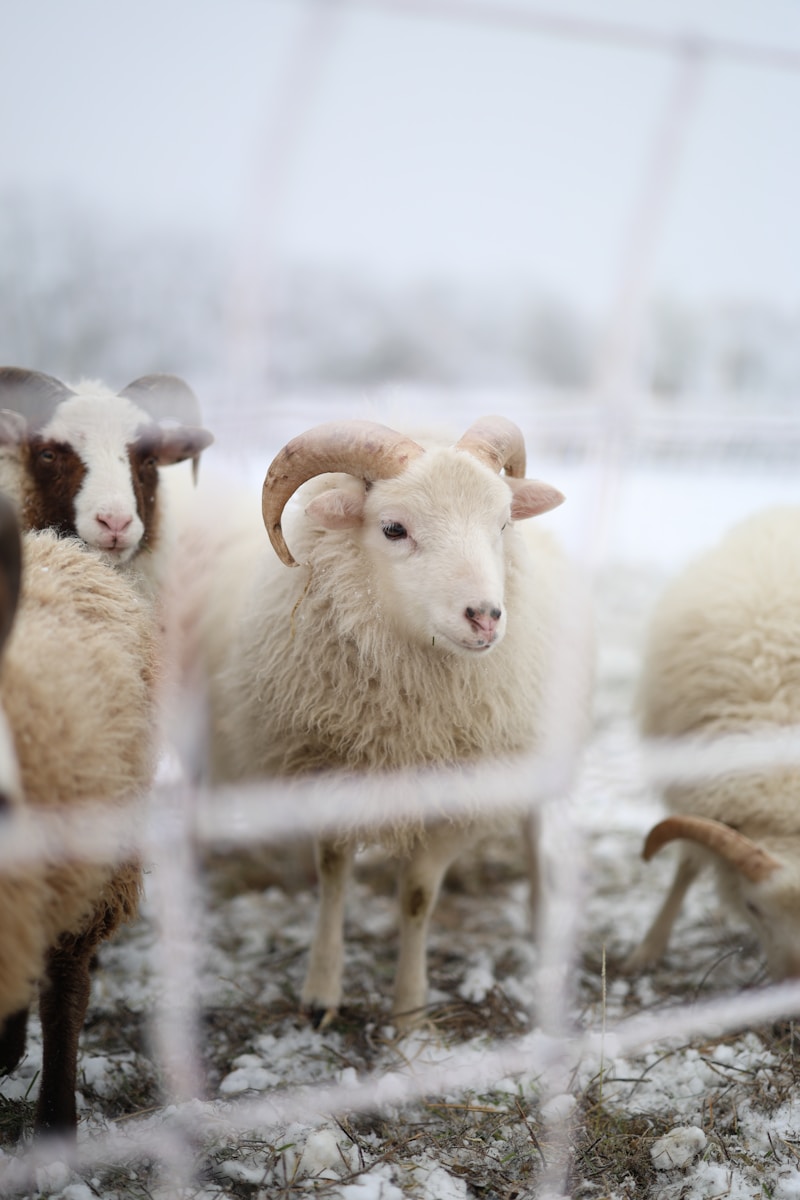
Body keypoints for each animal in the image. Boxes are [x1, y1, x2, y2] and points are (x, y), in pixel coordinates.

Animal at [182, 416, 590, 1028]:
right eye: (394, 528)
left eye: (501, 524)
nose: (485, 617)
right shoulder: (326, 769)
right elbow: (333, 874)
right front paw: (320, 992)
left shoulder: (458, 796)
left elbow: (417, 896)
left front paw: (409, 1012)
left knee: (534, 824)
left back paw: (543, 922)